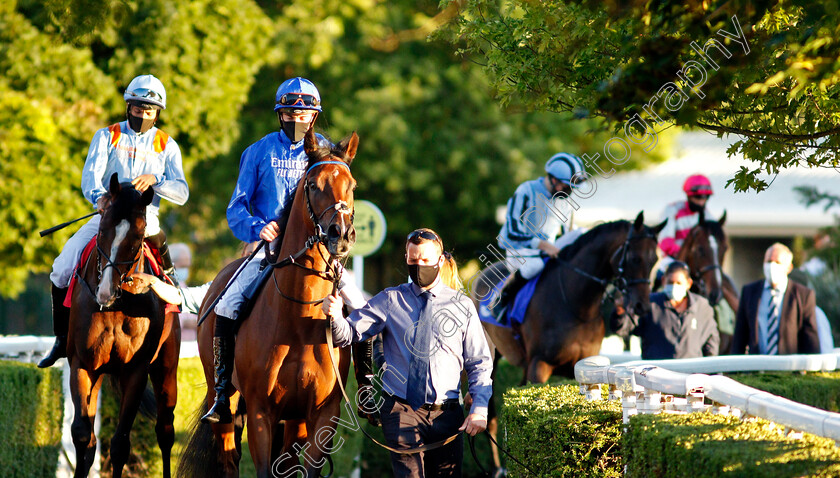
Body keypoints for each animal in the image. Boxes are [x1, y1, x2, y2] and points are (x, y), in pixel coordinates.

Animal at [67, 175, 180, 478]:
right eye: (102, 229)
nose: (105, 291)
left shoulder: (135, 371)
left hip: (166, 369)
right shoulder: (82, 364)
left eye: (138, 236)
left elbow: (120, 444)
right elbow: (82, 435)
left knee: (165, 431)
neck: (115, 308)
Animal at [179, 129, 356, 478]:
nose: (340, 234)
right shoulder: (262, 412)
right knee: (228, 458)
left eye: (352, 185)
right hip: (225, 400)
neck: (299, 321)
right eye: (313, 184)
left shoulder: (320, 415)